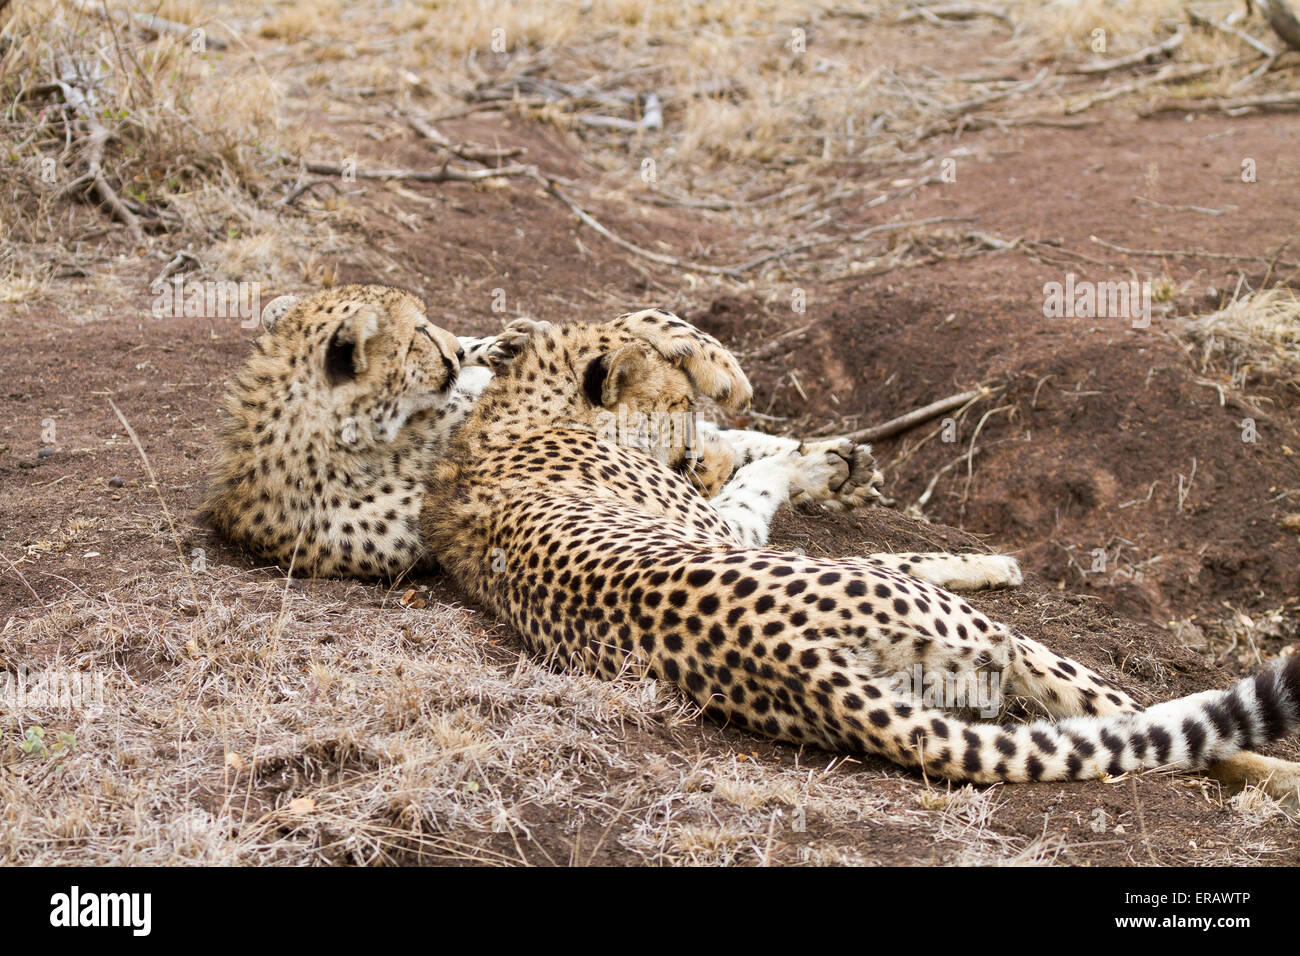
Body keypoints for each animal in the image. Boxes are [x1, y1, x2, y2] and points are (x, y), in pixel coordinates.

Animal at [421, 312, 1300, 790]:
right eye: (675, 404)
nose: (690, 446)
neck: (516, 413)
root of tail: (792, 655)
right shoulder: (723, 530)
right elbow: (779, 490)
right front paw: (827, 466)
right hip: (983, 637)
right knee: (1120, 708)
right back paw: (1277, 773)